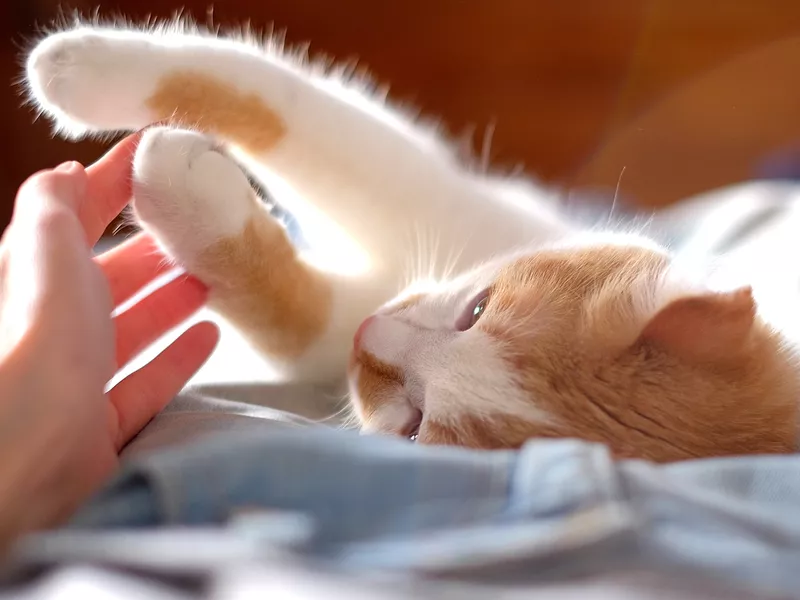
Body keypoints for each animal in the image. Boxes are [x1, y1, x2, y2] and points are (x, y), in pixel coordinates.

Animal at [21, 22, 800, 464]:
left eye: (418, 428)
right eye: (478, 309)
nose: (370, 337)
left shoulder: (345, 322)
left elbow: (294, 316)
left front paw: (180, 187)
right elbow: (288, 106)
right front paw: (81, 65)